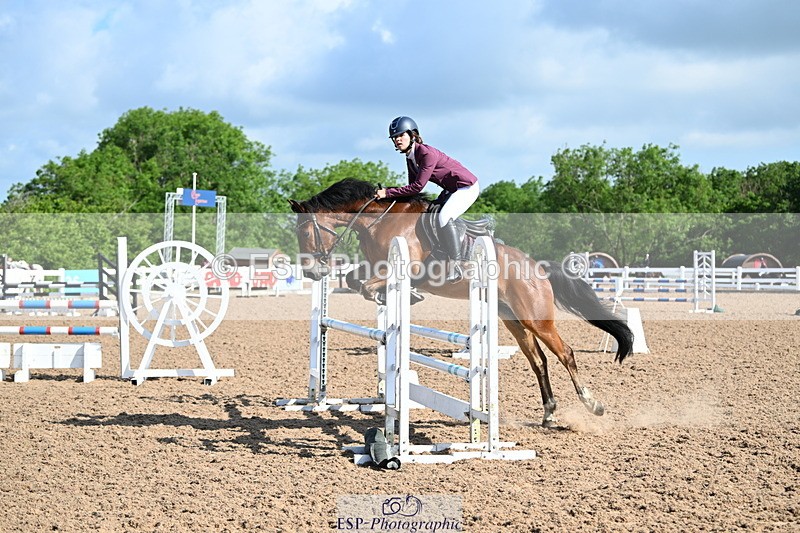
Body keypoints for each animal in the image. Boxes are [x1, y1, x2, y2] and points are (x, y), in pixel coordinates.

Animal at [289, 178, 634, 427]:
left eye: (305, 233)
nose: (312, 271)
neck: (378, 221)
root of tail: (537, 267)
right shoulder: (374, 267)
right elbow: (353, 281)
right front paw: (391, 297)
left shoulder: (404, 268)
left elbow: (365, 285)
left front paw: (406, 295)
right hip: (513, 319)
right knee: (539, 361)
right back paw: (548, 413)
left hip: (537, 318)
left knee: (566, 354)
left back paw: (592, 404)